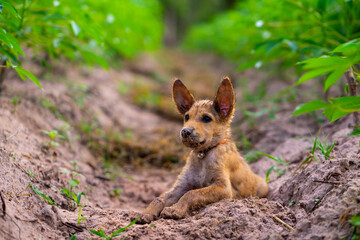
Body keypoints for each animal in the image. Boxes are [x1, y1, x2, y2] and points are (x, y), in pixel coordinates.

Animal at [138, 76, 268, 223]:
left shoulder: (223, 187)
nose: (185, 132)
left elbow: (192, 193)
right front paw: (146, 213)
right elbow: (159, 198)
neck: (203, 155)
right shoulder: (182, 185)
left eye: (206, 118)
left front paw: (175, 209)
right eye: (187, 117)